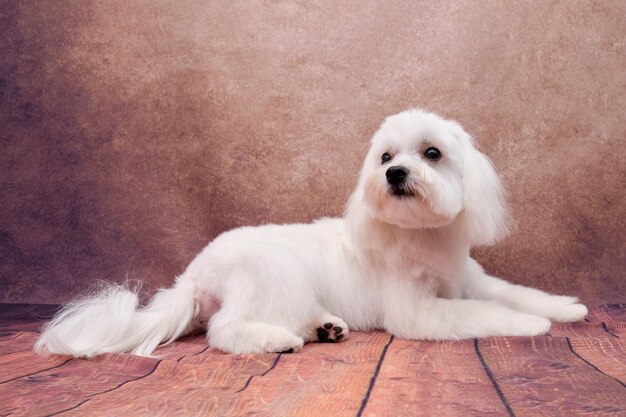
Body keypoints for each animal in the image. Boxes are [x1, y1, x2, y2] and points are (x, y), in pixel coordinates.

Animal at [36, 109, 588, 356]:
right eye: (385, 157)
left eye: (431, 153)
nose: (395, 174)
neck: (422, 237)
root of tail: (193, 275)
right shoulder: (418, 312)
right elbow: (486, 312)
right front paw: (533, 325)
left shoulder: (470, 280)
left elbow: (515, 292)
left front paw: (565, 308)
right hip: (274, 273)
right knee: (224, 329)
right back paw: (280, 339)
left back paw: (325, 327)